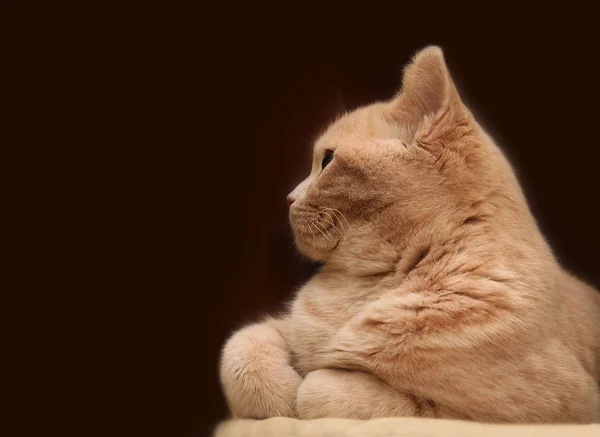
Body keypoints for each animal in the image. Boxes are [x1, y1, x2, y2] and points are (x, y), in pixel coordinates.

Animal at [219, 46, 600, 420]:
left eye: (327, 161)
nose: (289, 197)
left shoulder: (549, 406)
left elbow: (325, 392)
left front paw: (305, 389)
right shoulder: (287, 329)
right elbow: (243, 346)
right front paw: (277, 395)